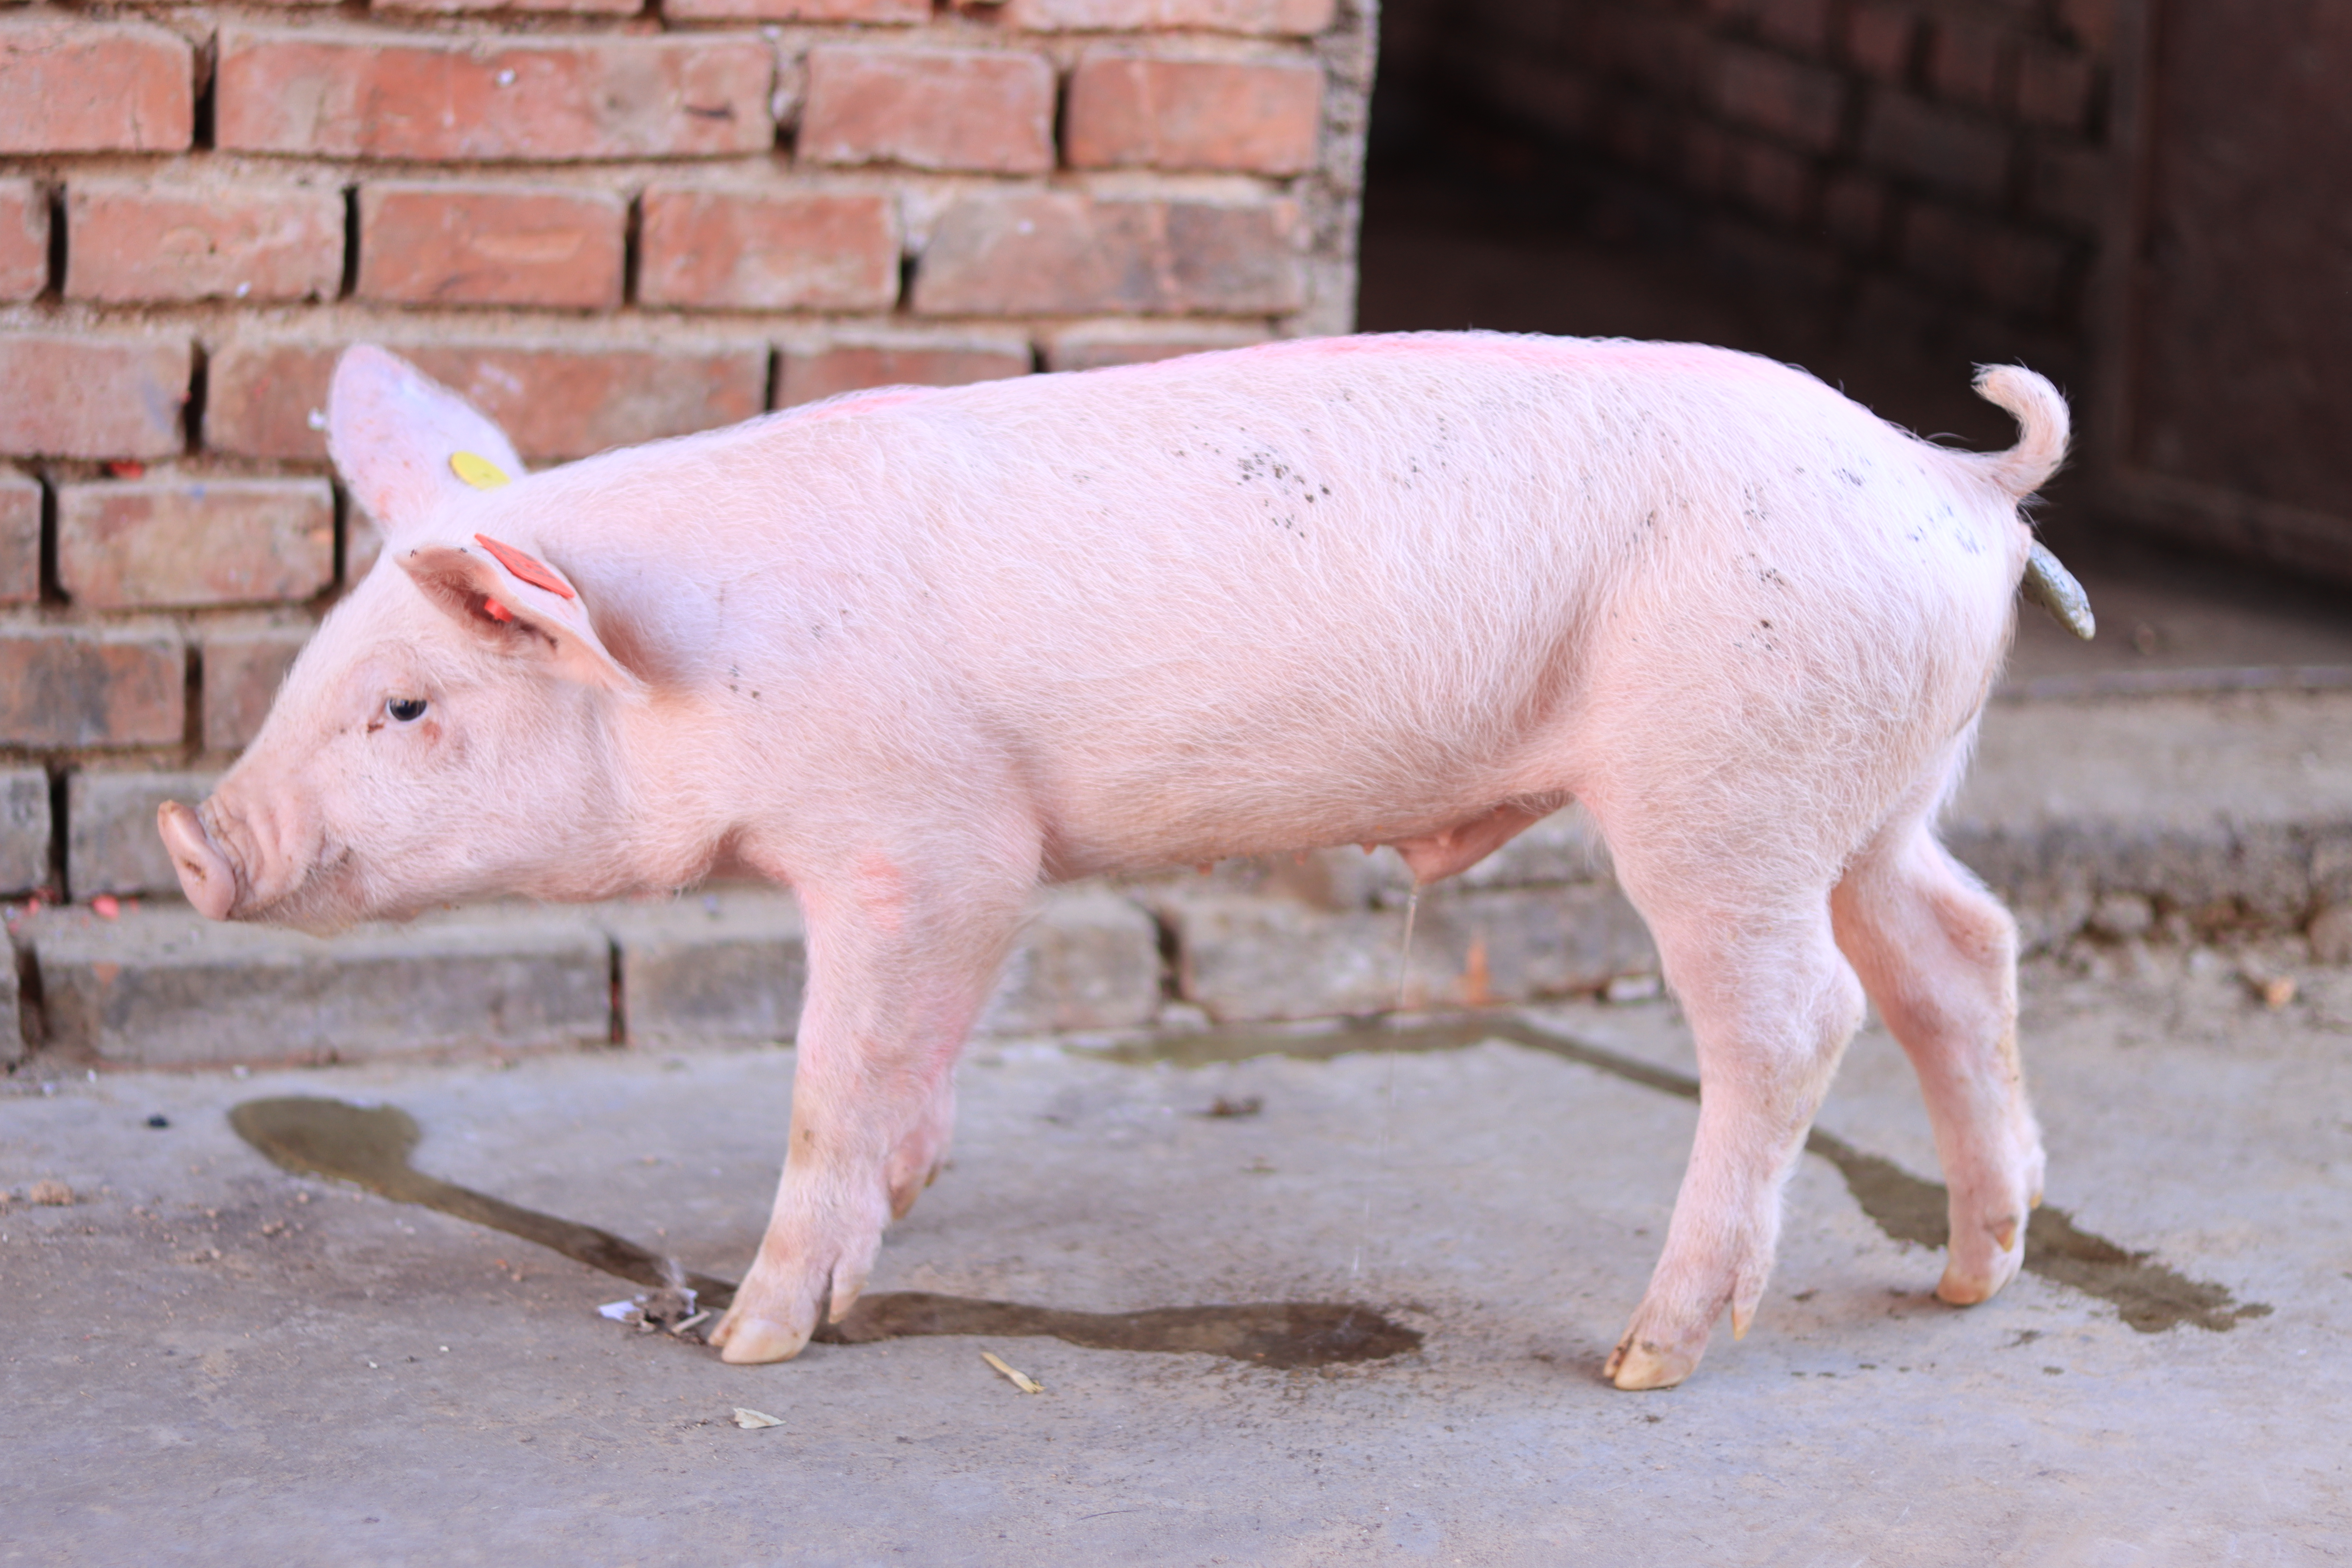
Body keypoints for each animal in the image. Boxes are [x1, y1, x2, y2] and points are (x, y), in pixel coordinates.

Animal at [159, 334, 2068, 1389]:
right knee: (1961, 944)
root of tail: (1958, 479)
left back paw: (1645, 1354)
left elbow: (834, 1068)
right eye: (311, 672)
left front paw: (757, 1334)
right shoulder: (982, 865)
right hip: (1871, 789)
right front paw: (901, 1203)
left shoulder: (920, 834)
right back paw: (1969, 1274)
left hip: (1724, 780)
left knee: (1795, 1016)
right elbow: (918, 1055)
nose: (191, 837)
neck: (696, 669)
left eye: (407, 704)